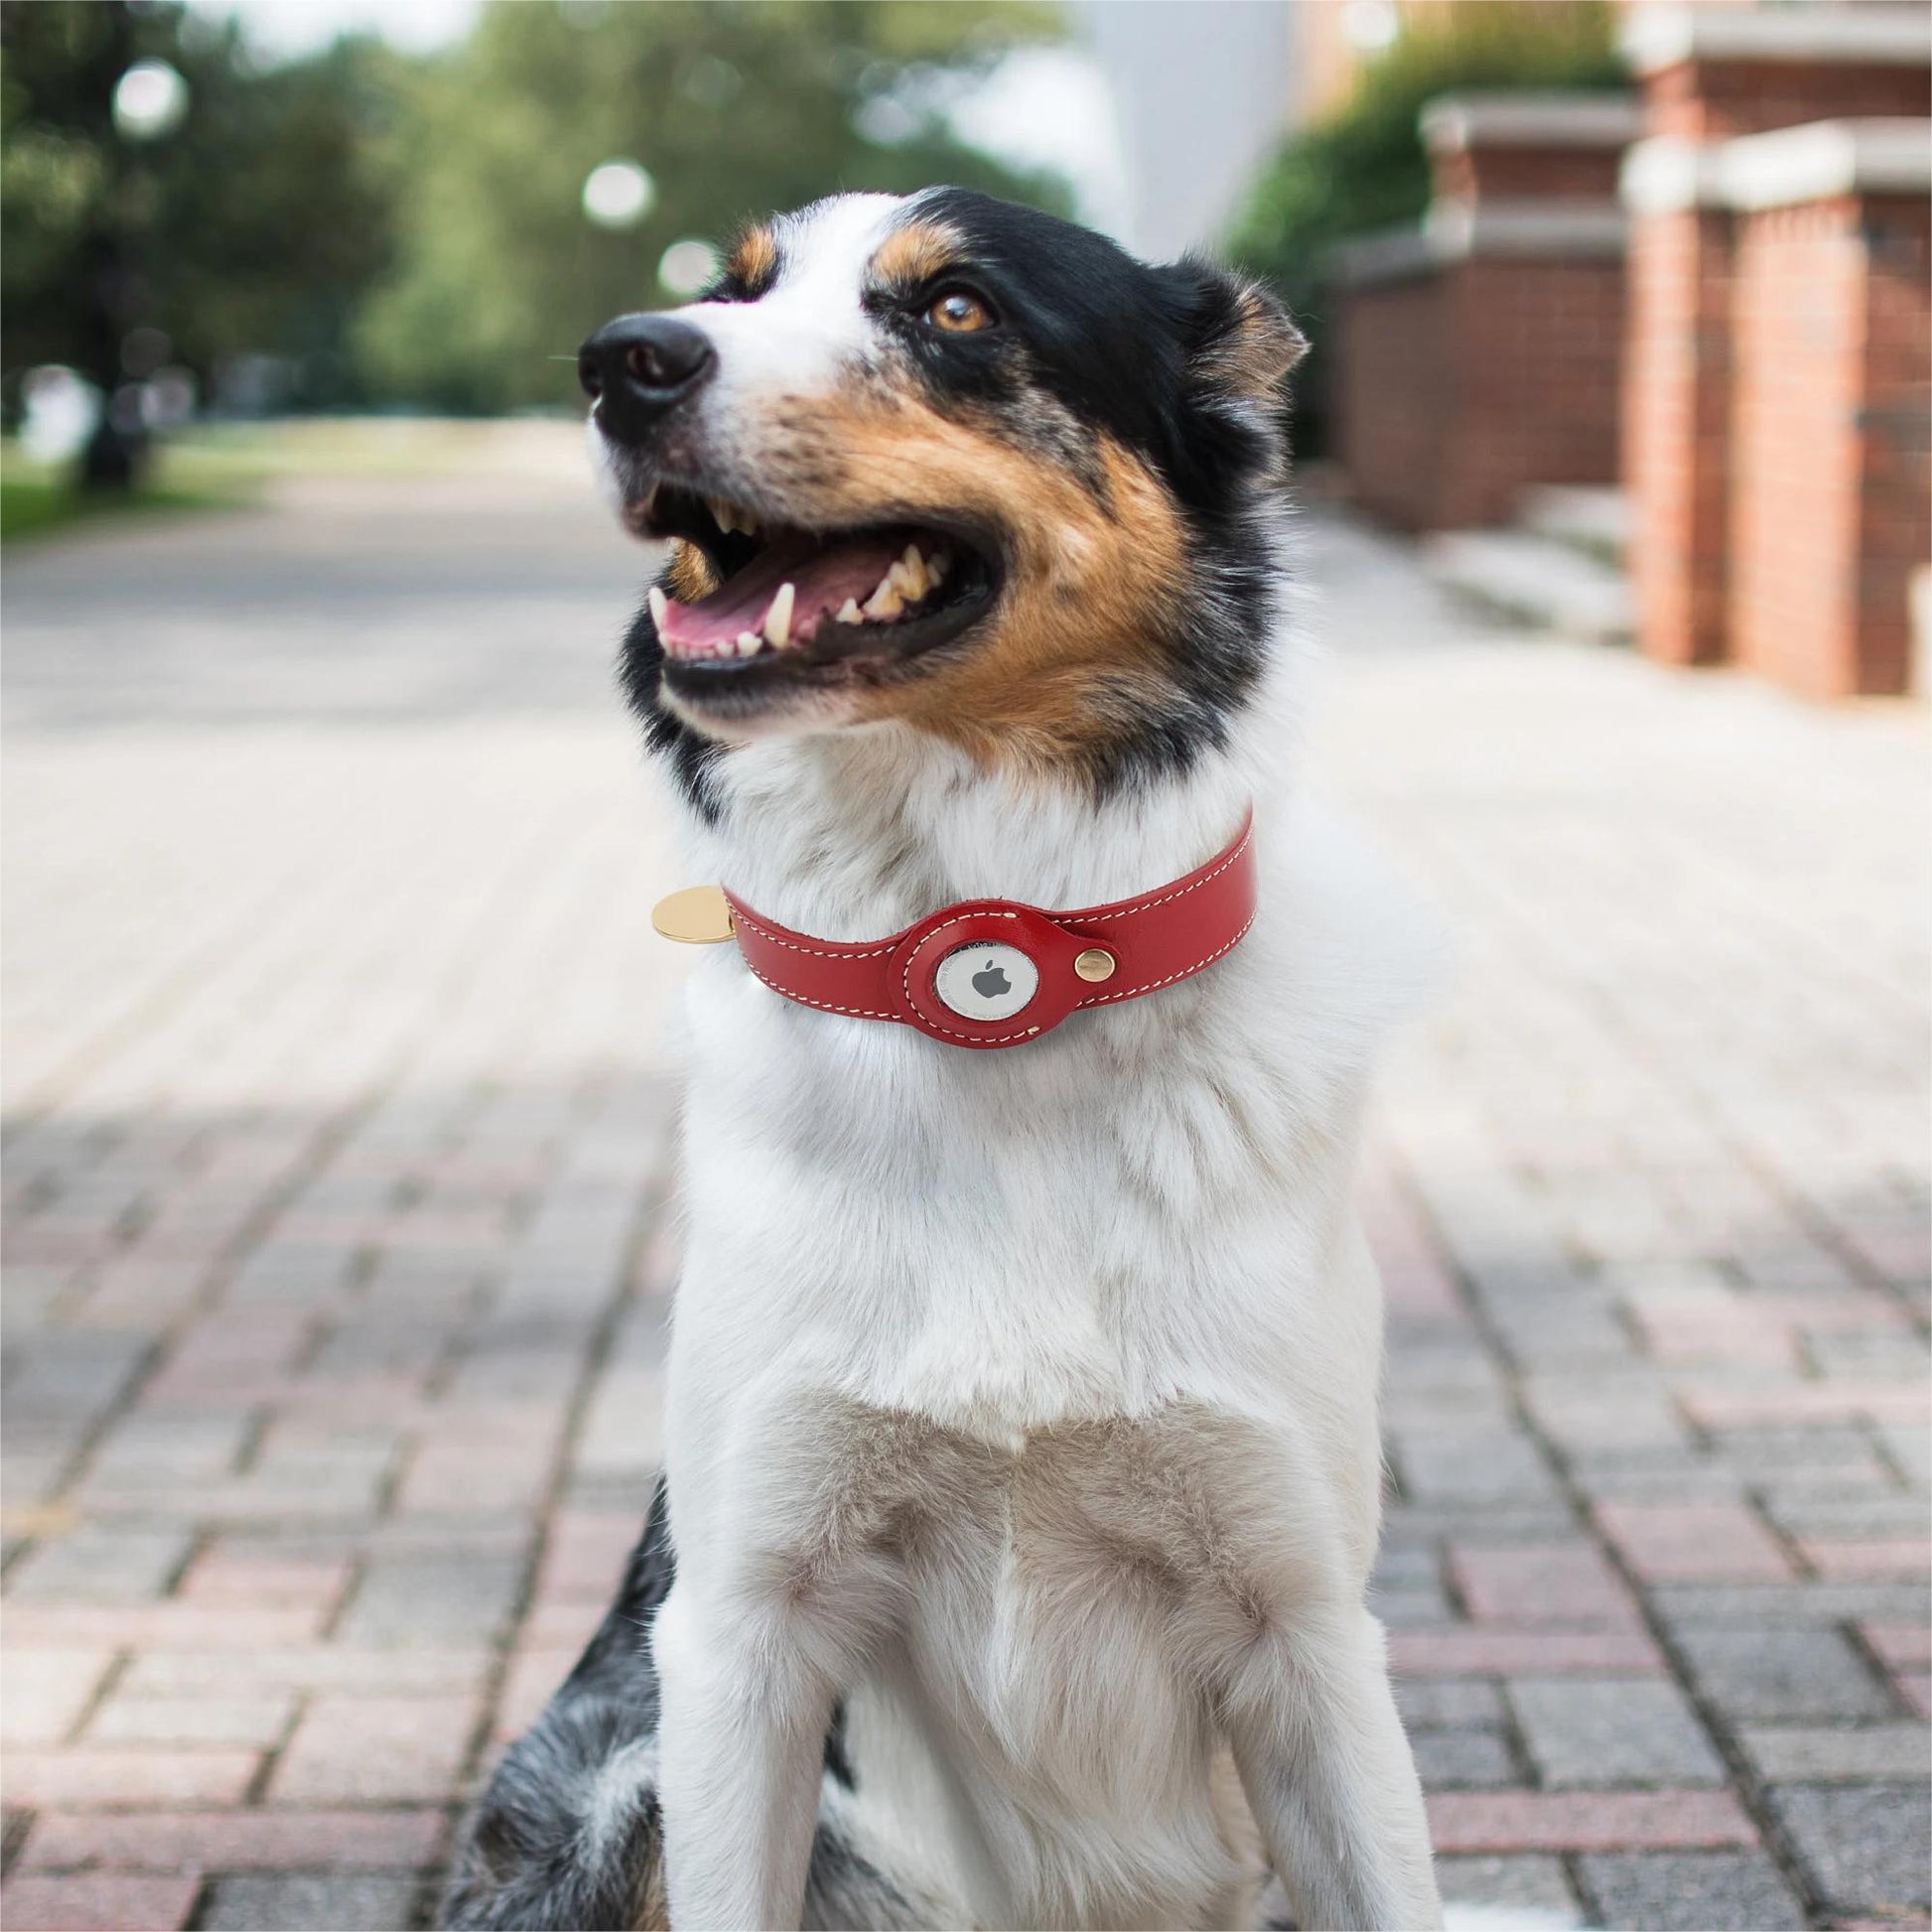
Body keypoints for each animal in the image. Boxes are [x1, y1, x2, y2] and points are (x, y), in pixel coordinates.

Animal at [444, 184, 1445, 1932]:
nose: (623, 359)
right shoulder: (741, 1632)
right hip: (612, 1784)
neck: (981, 969)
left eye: (957, 309)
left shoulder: (1308, 1630)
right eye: (729, 289)